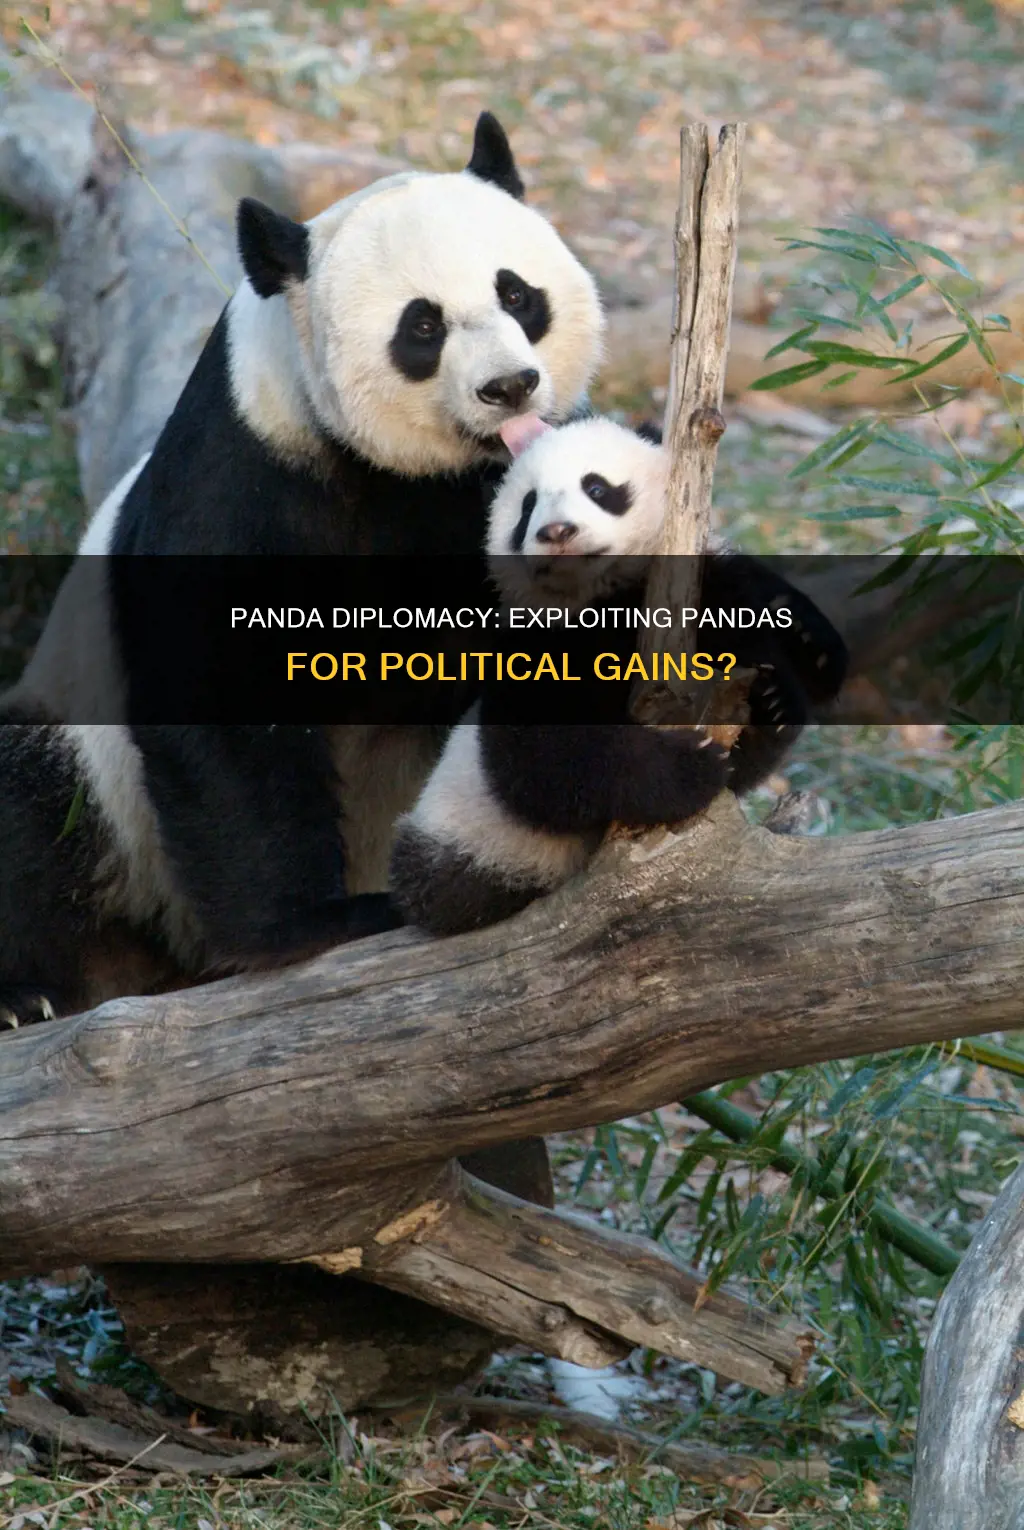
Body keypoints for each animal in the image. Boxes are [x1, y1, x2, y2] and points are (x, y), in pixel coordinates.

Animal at [0, 111, 606, 1028]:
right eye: (422, 327)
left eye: (516, 294)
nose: (509, 386)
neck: (409, 474)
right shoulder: (248, 474)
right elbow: (223, 697)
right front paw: (314, 925)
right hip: (87, 769)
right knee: (34, 820)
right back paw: (30, 996)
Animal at [389, 417, 848, 936]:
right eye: (527, 506)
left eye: (596, 488)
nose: (557, 530)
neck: (607, 598)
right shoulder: (538, 650)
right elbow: (545, 763)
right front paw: (692, 767)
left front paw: (782, 689)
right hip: (466, 841)